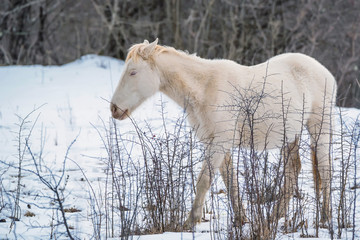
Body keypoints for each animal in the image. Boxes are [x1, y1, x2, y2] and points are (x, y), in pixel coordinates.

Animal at [110, 38, 338, 228]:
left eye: (133, 72)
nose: (114, 108)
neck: (204, 88)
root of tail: (326, 73)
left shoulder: (219, 143)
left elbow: (204, 180)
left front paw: (190, 222)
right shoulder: (217, 144)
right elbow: (230, 181)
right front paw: (241, 220)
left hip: (320, 127)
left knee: (325, 170)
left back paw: (325, 218)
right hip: (290, 136)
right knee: (292, 170)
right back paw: (274, 217)